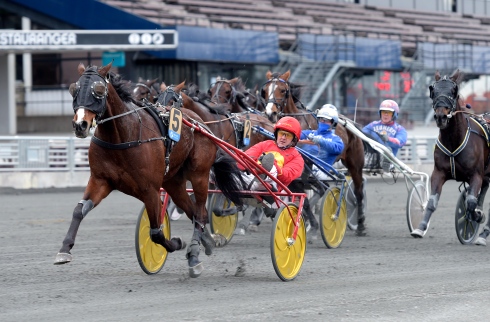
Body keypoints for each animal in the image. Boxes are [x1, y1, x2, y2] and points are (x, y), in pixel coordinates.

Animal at [54, 63, 245, 276]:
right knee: (193, 212)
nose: (80, 124)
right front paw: (64, 250)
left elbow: (156, 232)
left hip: (199, 175)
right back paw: (208, 242)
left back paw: (195, 255)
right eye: (74, 89)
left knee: (201, 213)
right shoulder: (100, 180)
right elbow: (79, 210)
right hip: (173, 181)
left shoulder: (149, 189)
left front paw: (176, 243)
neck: (122, 135)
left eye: (99, 90)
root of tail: (200, 123)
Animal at [262, 70, 366, 235]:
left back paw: (360, 224)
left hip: (355, 163)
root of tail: (349, 122)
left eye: (283, 90)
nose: (270, 113)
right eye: (265, 91)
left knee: (358, 191)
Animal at [410, 69, 490, 243]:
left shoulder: (476, 174)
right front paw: (420, 228)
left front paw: (477, 216)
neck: (454, 140)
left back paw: (483, 233)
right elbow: (432, 202)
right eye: (432, 90)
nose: (441, 116)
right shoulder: (439, 172)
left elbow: (471, 202)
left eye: (454, 91)